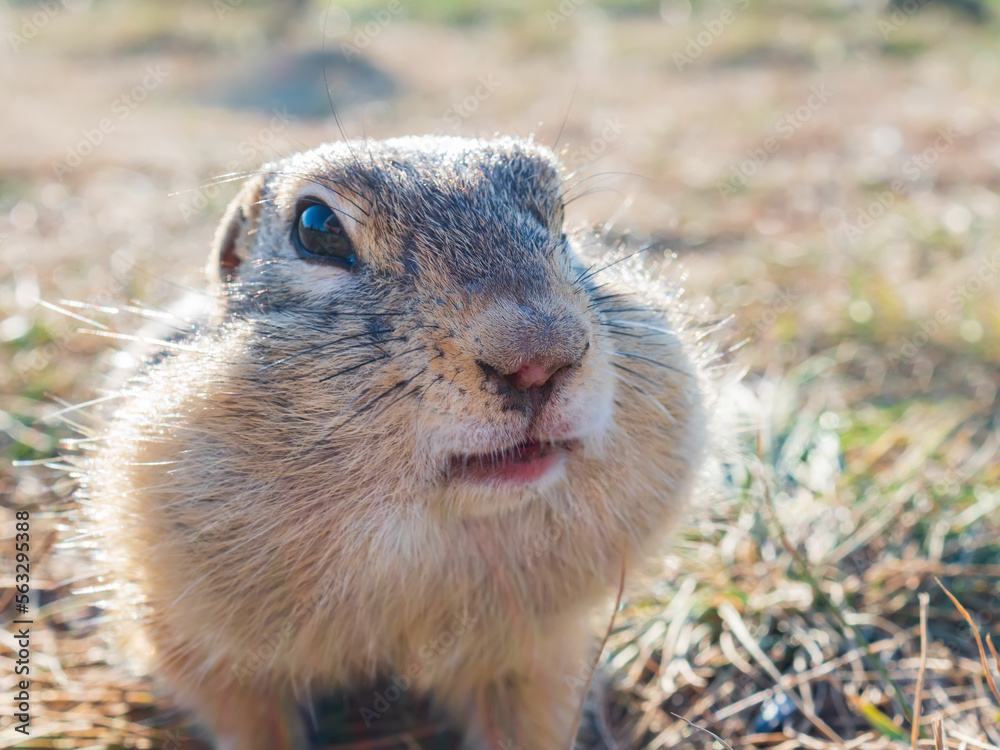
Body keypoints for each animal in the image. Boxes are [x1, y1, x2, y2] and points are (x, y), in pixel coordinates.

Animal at [80, 137, 712, 750]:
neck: (424, 538)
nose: (538, 360)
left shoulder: (535, 657)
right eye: (317, 228)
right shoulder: (194, 639)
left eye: (560, 215)